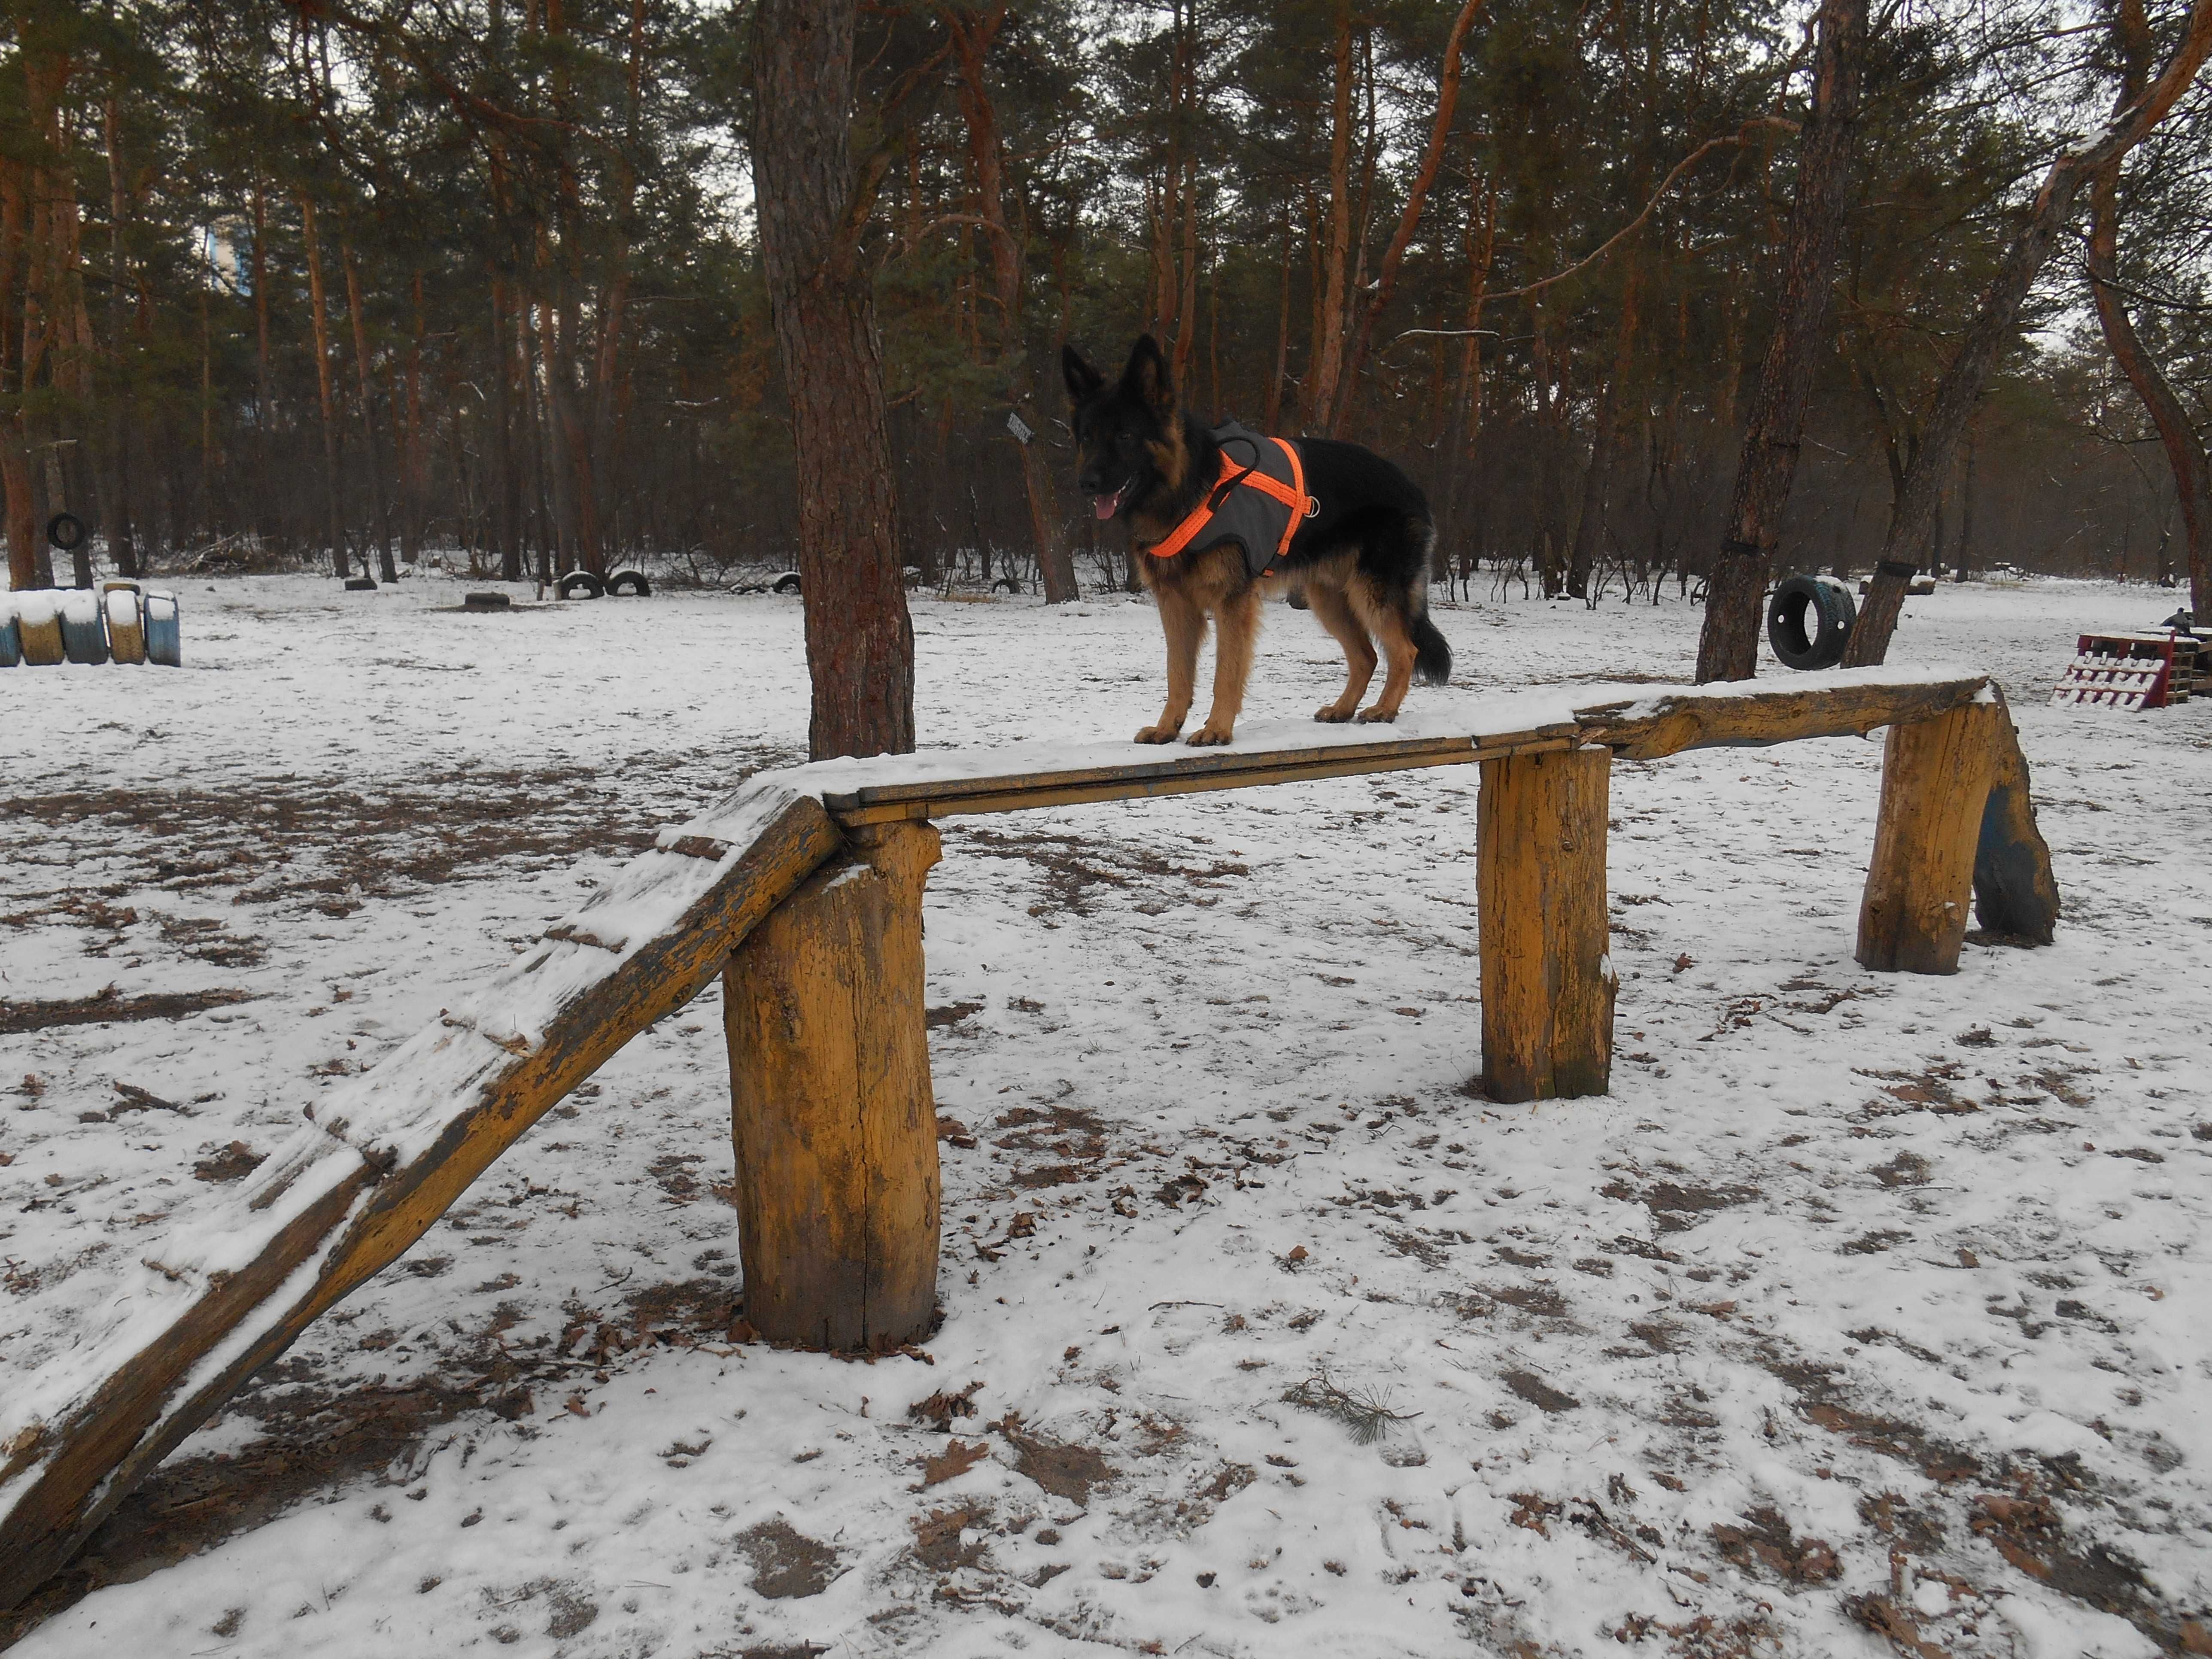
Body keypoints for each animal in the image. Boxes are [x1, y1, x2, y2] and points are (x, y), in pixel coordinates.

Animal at [1057, 336, 1451, 747]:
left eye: (1125, 437)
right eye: (1087, 437)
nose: (1086, 483)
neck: (1188, 491)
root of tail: (1411, 487)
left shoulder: (1232, 602)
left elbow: (1226, 672)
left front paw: (1217, 729)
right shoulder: (1176, 606)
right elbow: (1177, 673)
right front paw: (1168, 728)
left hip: (1371, 593)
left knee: (1404, 650)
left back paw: (1384, 710)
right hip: (1328, 599)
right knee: (1367, 656)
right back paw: (1343, 709)